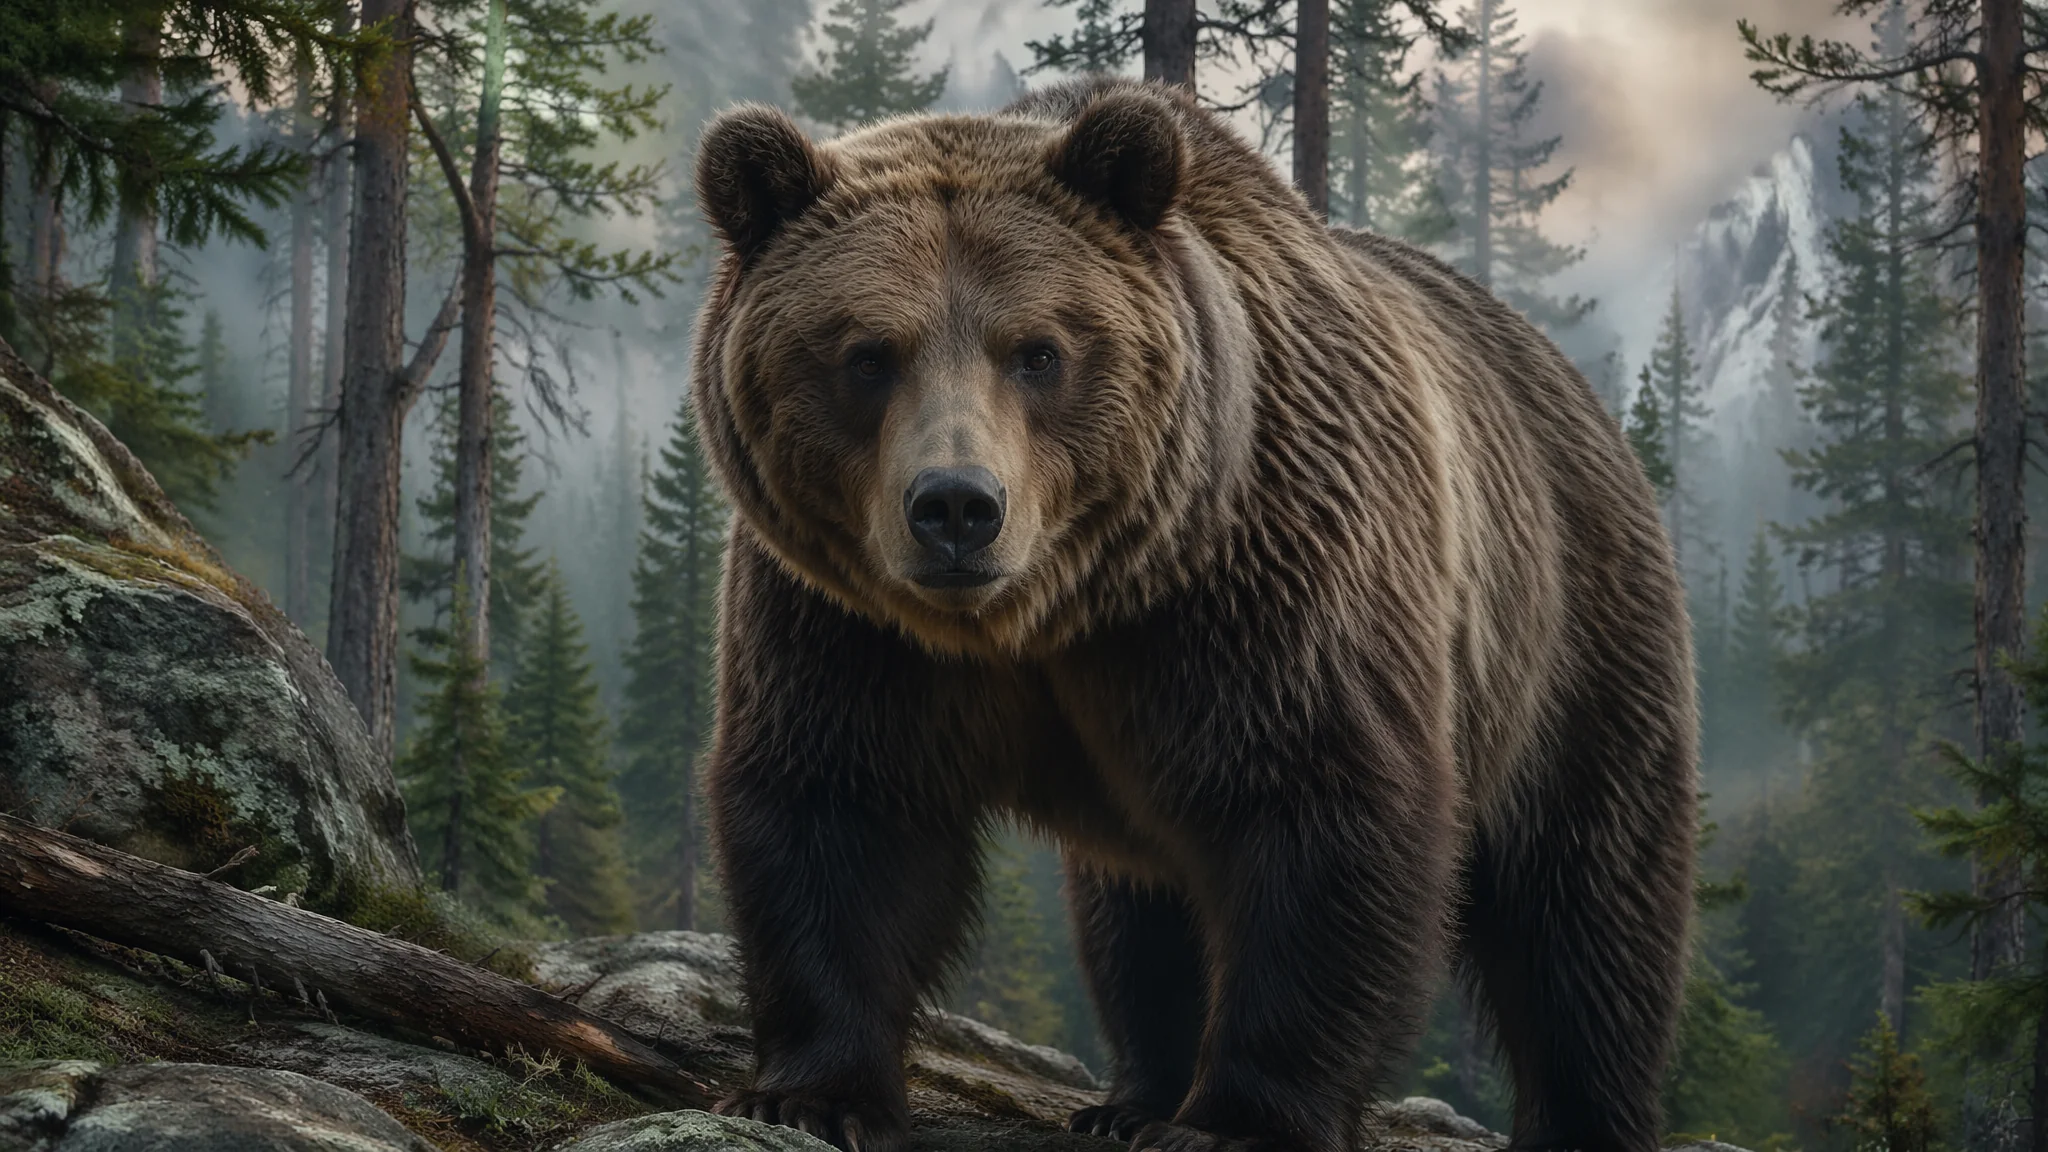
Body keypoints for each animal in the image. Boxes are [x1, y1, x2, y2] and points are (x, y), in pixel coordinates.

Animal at [688, 76, 1697, 1152]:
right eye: (867, 354)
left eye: (1037, 351)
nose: (956, 506)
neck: (1056, 610)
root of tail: (1566, 378)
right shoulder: (845, 619)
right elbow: (839, 808)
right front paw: (811, 1092)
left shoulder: (1264, 583)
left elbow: (1318, 814)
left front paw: (1238, 1119)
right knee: (1138, 914)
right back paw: (1129, 1100)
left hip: (1567, 636)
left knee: (1588, 901)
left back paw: (1589, 1113)